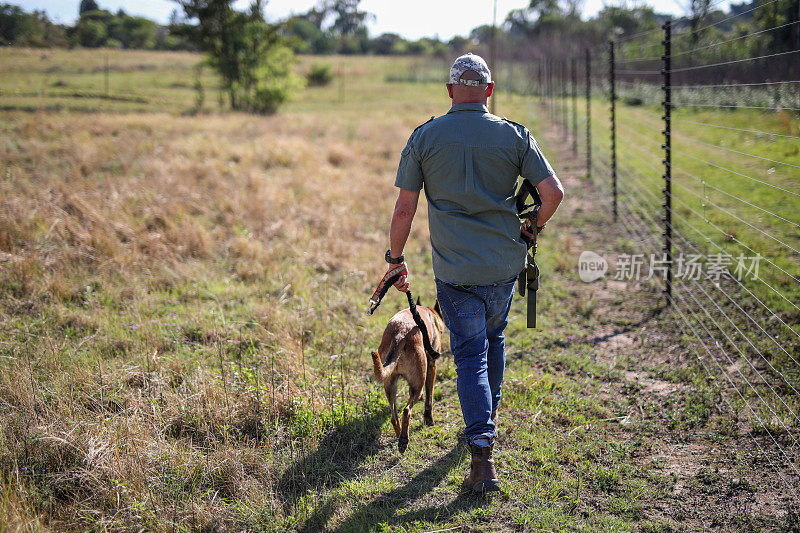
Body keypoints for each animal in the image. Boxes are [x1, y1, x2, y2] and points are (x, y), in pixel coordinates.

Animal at [370, 298, 444, 450]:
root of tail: (399, 335)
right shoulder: (432, 365)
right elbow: (429, 398)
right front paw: (429, 419)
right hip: (418, 384)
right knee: (406, 411)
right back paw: (404, 440)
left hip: (390, 385)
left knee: (394, 417)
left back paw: (400, 437)